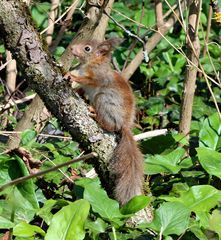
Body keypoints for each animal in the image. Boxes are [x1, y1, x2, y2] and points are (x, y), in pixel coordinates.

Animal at [67, 38, 143, 205]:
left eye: (87, 48)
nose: (71, 48)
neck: (91, 63)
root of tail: (124, 125)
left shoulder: (98, 76)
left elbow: (88, 79)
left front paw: (71, 76)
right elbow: (80, 89)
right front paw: (74, 87)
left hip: (103, 100)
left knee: (110, 125)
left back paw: (94, 113)